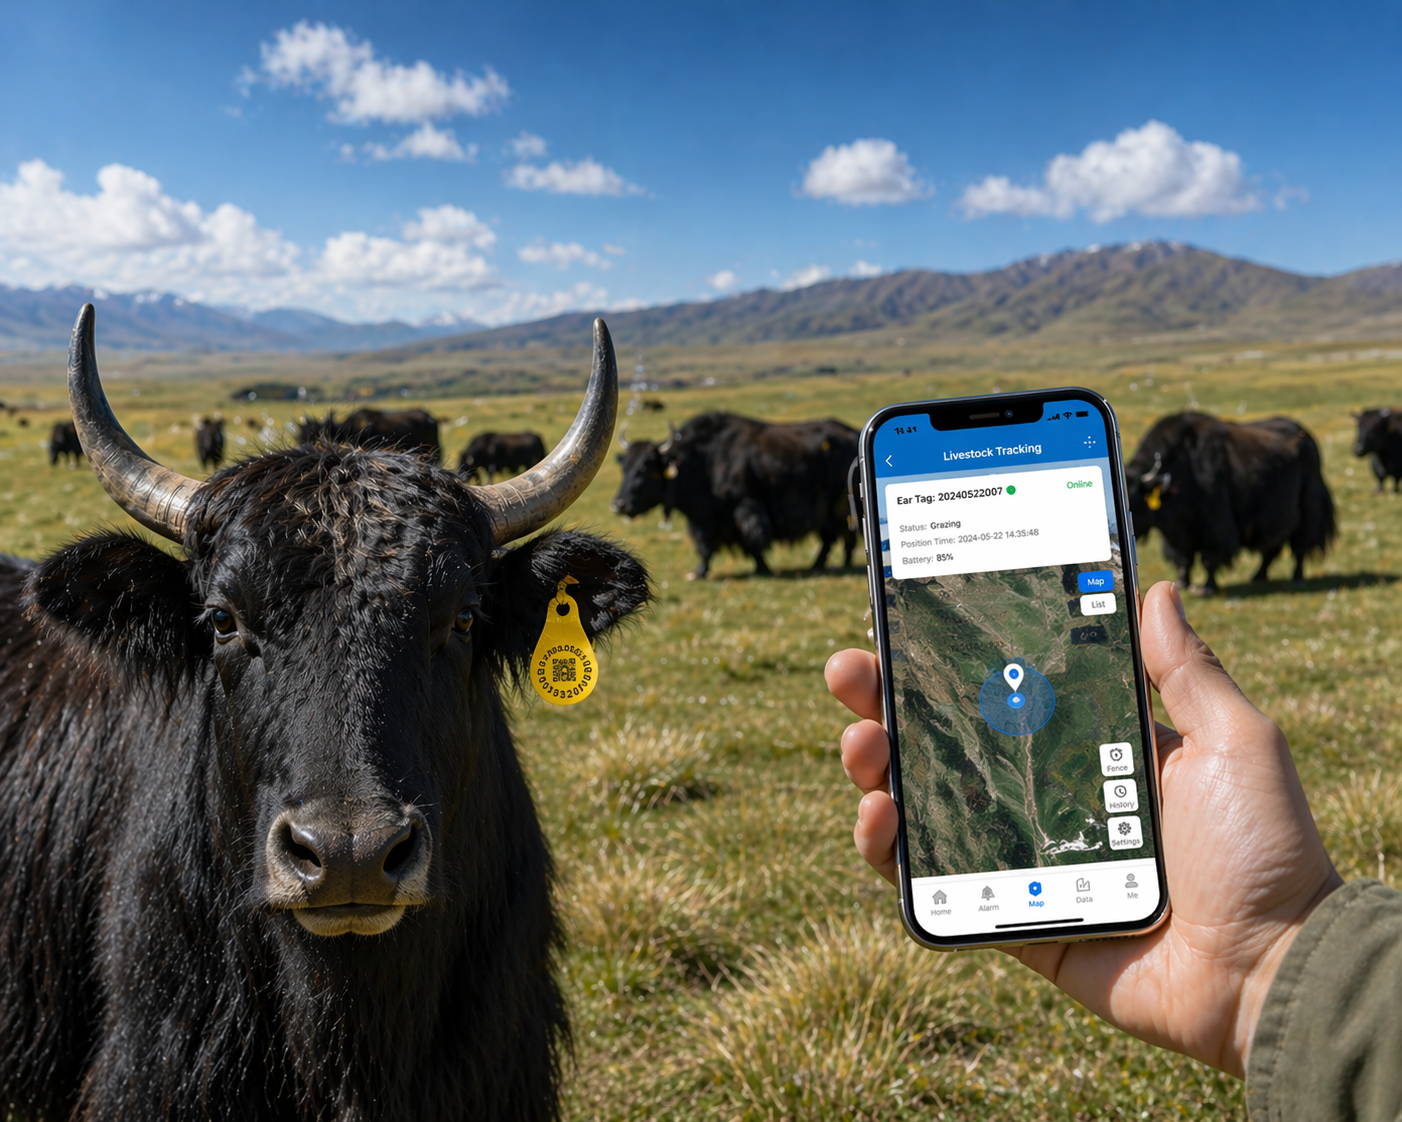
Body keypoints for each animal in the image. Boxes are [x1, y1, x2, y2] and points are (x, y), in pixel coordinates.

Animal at [611, 412, 859, 579]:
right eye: (625, 467)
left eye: (644, 468)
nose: (619, 505)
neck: (705, 460)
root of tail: (853, 434)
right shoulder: (703, 519)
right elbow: (705, 547)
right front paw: (699, 571)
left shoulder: (745, 506)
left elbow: (752, 539)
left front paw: (761, 568)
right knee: (835, 536)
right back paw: (828, 564)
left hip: (840, 504)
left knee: (840, 534)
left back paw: (834, 564)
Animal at [1124, 411, 1336, 593]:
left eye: (1134, 498)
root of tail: (1306, 436)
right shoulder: (1177, 532)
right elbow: (1184, 557)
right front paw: (1183, 583)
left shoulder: (1216, 523)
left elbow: (1209, 557)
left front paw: (1208, 587)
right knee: (1271, 548)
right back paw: (1258, 576)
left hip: (1307, 511)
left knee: (1300, 545)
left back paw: (1297, 579)